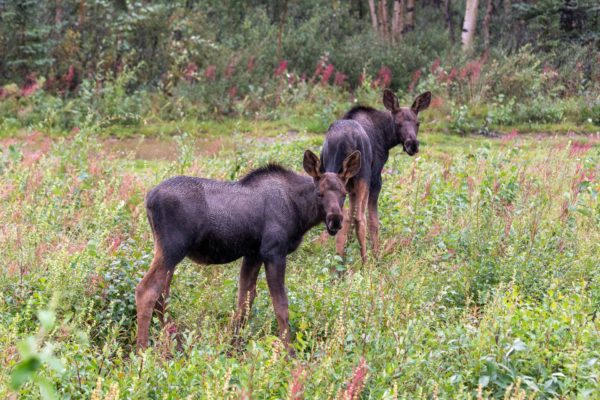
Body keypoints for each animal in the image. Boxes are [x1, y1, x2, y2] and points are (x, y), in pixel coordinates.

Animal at [135, 149, 360, 354]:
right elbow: (281, 306)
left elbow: (244, 301)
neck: (300, 213)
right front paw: (289, 354)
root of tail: (148, 199)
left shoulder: (253, 254)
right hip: (172, 248)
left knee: (162, 295)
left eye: (343, 194)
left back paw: (174, 345)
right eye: (319, 193)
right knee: (147, 290)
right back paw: (142, 352)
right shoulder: (274, 252)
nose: (335, 220)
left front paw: (234, 348)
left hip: (169, 252)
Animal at [324, 89, 432, 262]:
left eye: (418, 123)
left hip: (332, 171)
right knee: (361, 218)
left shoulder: (349, 185)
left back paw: (338, 261)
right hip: (364, 176)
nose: (412, 145)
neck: (387, 138)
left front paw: (346, 250)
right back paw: (366, 261)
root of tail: (346, 140)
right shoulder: (375, 179)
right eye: (397, 123)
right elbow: (373, 220)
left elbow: (348, 217)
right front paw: (377, 254)